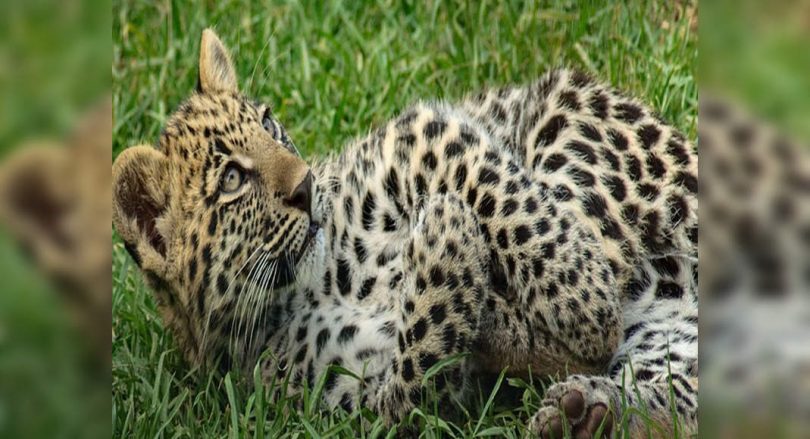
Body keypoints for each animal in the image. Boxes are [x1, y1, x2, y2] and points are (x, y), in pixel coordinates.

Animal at [113, 29, 698, 437]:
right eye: (232, 180)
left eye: (270, 124)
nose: (305, 186)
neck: (306, 284)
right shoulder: (360, 395)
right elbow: (421, 366)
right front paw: (448, 240)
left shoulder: (422, 134)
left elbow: (497, 192)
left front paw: (580, 303)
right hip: (668, 348)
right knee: (680, 405)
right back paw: (589, 416)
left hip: (566, 120)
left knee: (591, 229)